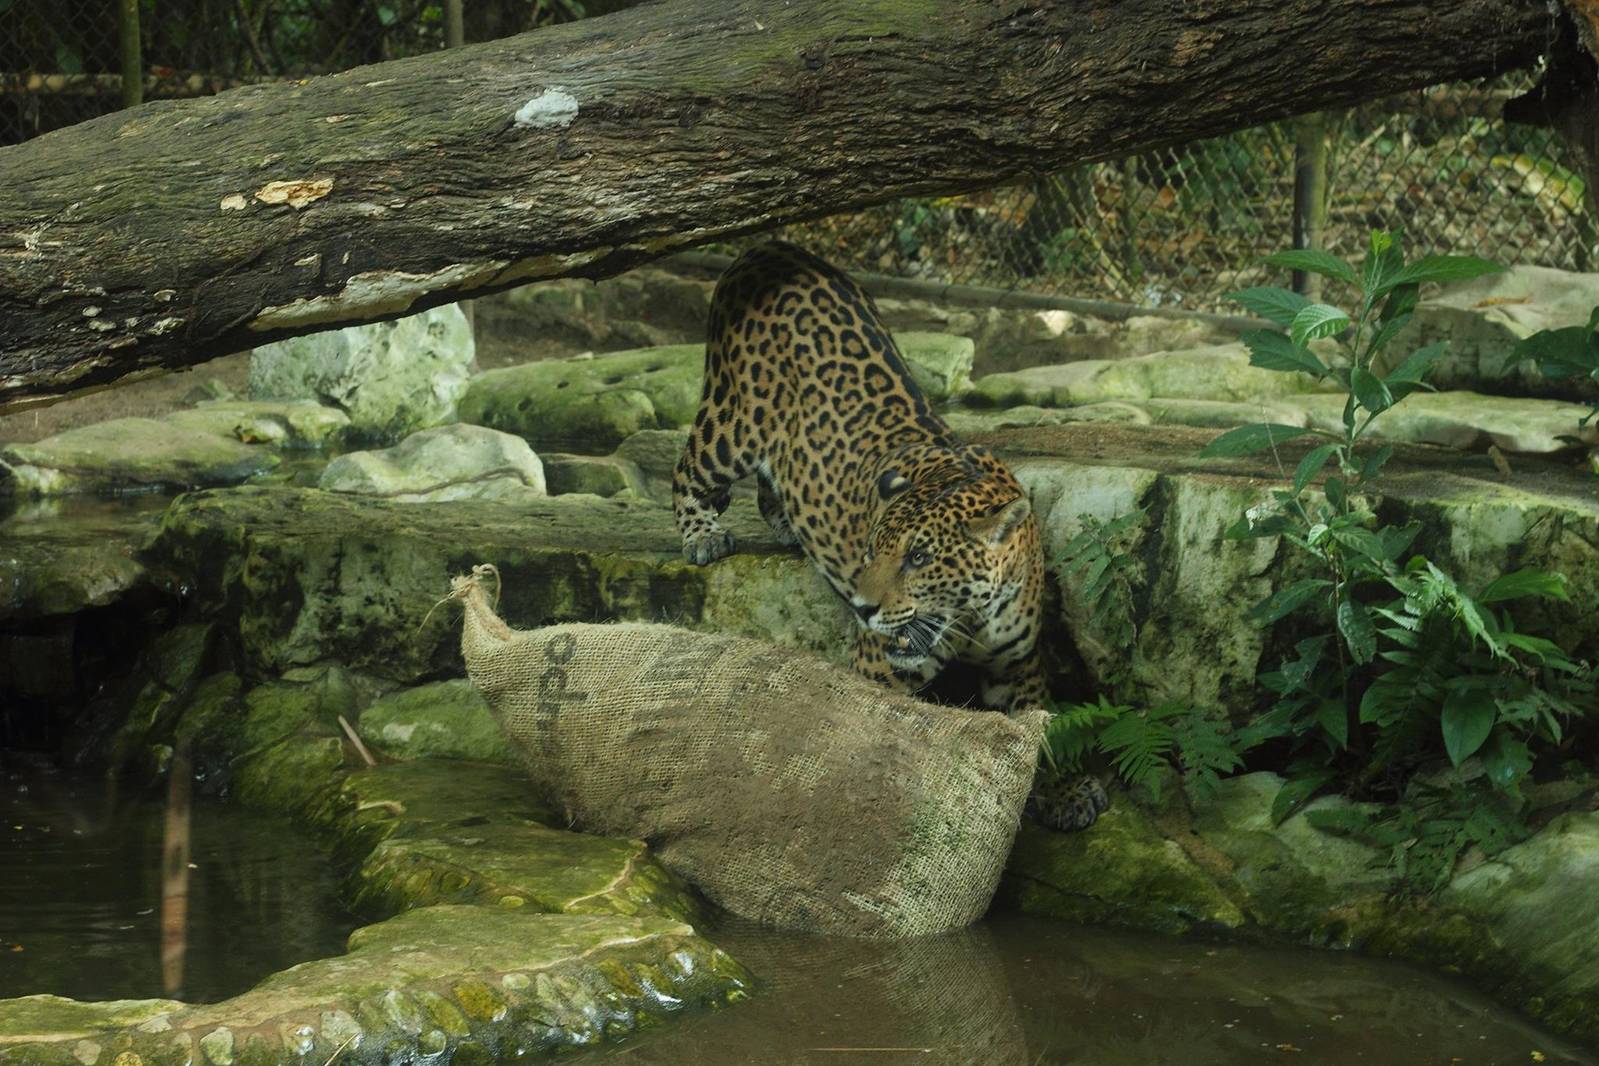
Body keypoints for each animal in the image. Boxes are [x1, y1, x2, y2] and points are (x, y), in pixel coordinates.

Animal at [672, 240, 1108, 832]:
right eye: (872, 550)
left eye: (919, 557)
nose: (862, 608)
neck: (972, 618)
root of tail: (771, 248)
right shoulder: (879, 667)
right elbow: (868, 733)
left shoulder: (1019, 670)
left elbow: (1044, 735)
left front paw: (1065, 791)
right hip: (735, 419)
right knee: (688, 467)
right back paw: (702, 534)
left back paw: (787, 524)